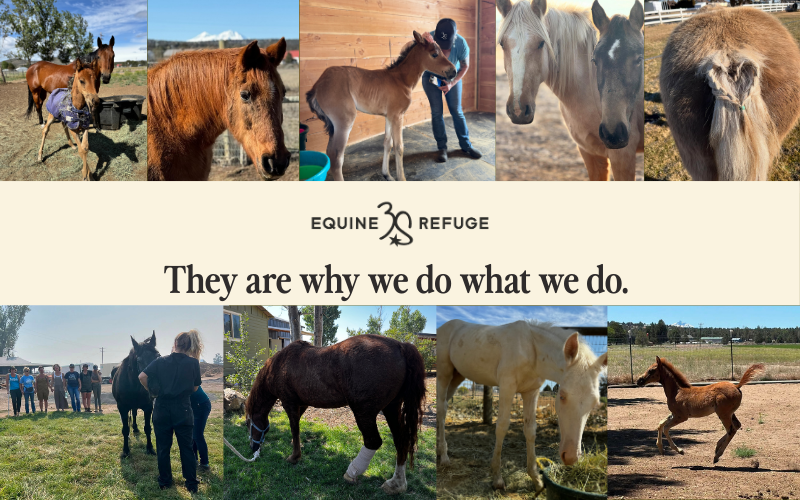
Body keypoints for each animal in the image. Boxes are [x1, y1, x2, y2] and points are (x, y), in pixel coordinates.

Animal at [244, 336, 426, 494]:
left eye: (247, 424)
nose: (253, 448)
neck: (279, 365)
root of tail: (400, 346)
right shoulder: (301, 405)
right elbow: (297, 428)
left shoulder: (289, 403)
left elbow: (294, 429)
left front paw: (294, 457)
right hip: (391, 408)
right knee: (401, 441)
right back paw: (396, 484)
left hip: (364, 412)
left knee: (373, 441)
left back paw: (352, 472)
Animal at [306, 31, 457, 181]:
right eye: (434, 54)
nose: (453, 71)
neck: (401, 80)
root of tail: (318, 85)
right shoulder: (397, 116)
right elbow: (399, 147)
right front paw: (401, 178)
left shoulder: (389, 116)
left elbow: (387, 143)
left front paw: (387, 175)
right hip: (344, 121)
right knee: (336, 156)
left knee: (330, 152)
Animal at [437, 320, 607, 492]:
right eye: (562, 396)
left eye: (595, 403)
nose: (571, 457)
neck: (532, 350)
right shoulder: (507, 386)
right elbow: (502, 426)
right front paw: (497, 478)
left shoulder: (531, 391)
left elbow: (530, 430)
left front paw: (536, 480)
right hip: (444, 373)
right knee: (442, 409)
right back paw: (444, 457)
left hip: (457, 375)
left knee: (442, 405)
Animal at [636, 357, 765, 462]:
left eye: (651, 370)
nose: (639, 380)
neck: (677, 391)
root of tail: (737, 386)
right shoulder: (674, 414)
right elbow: (660, 424)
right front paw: (661, 449)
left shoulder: (681, 417)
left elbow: (666, 428)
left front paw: (679, 450)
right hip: (730, 413)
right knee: (737, 426)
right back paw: (717, 447)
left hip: (723, 414)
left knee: (731, 430)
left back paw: (717, 455)